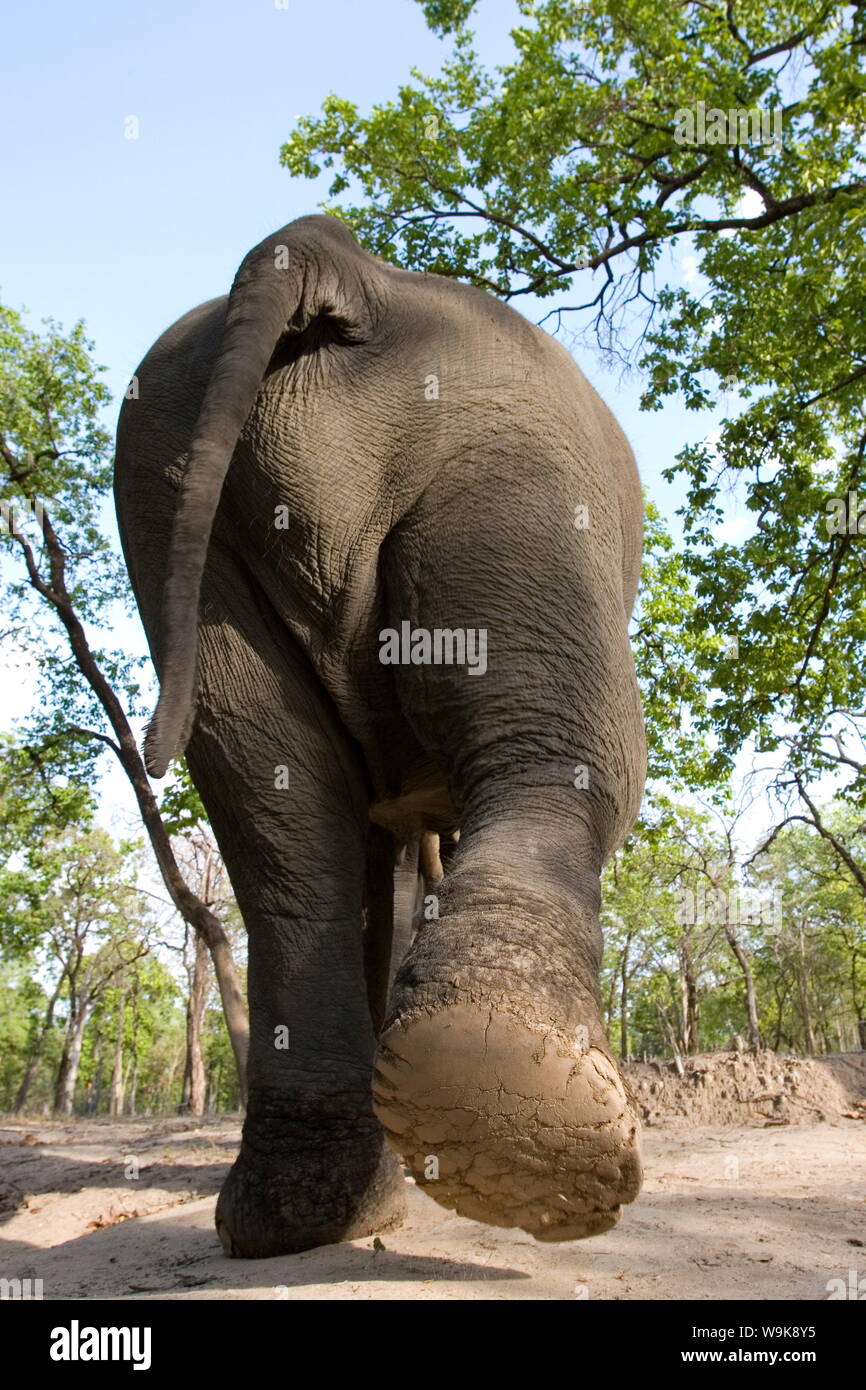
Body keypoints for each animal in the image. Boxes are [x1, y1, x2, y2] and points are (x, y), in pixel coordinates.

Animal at [113, 208, 644, 1262]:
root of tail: (328, 259)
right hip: (512, 457)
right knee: (574, 748)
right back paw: (512, 1112)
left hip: (167, 503)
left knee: (279, 823)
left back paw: (319, 1209)